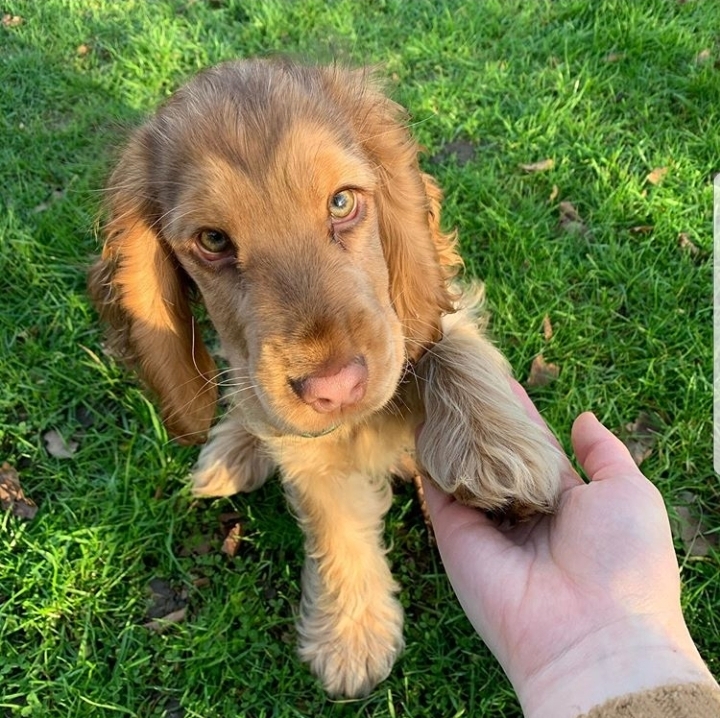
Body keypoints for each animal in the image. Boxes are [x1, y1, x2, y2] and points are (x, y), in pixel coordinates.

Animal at [88, 59, 564, 700]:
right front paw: (351, 635)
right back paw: (229, 455)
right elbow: (336, 523)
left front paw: (494, 449)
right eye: (212, 240)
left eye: (342, 203)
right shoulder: (300, 442)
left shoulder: (418, 317)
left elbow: (446, 338)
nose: (335, 387)